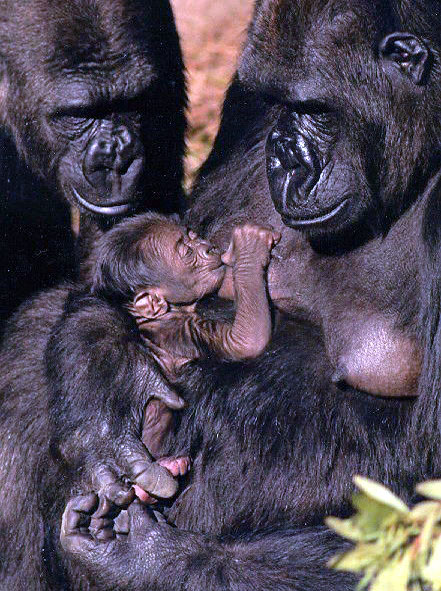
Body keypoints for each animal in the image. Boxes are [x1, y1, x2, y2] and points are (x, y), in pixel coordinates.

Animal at [87, 215, 276, 502]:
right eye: (186, 252)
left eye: (194, 236)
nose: (209, 248)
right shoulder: (180, 330)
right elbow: (244, 340)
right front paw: (249, 249)